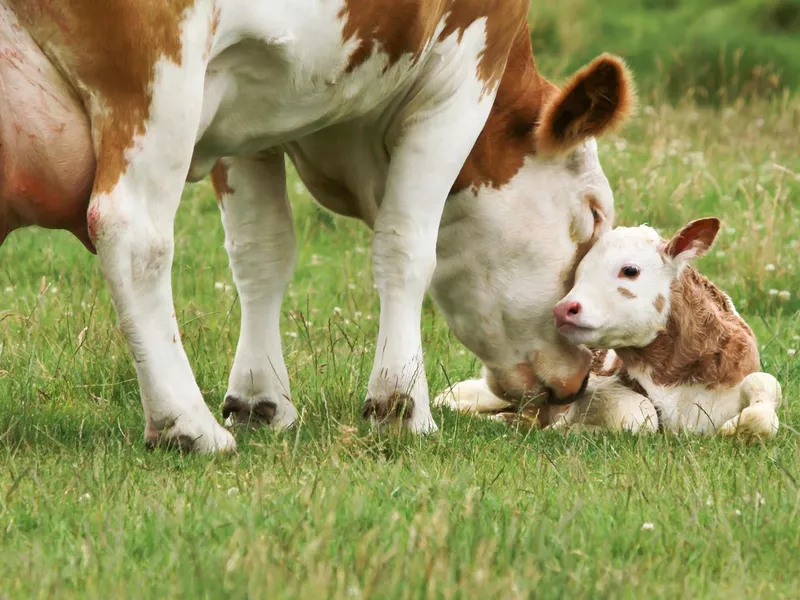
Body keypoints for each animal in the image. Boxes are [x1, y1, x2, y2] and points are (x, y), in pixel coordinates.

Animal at [438, 218, 780, 438]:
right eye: (578, 274)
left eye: (630, 270)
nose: (563, 308)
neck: (675, 375)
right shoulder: (598, 387)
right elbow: (640, 413)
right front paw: (571, 429)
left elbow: (766, 387)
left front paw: (738, 431)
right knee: (452, 398)